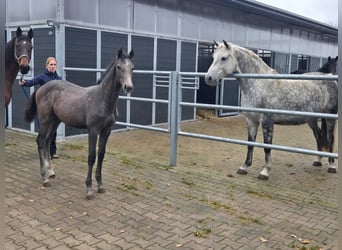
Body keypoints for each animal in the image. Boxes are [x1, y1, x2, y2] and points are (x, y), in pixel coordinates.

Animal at [24, 47, 134, 199]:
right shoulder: (93, 130)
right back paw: (45, 178)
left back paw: (51, 172)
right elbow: (91, 157)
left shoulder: (106, 131)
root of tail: (41, 88)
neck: (102, 99)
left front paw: (100, 185)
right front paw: (89, 189)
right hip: (46, 120)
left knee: (47, 141)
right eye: (118, 67)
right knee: (40, 141)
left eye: (132, 68)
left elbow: (101, 155)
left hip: (55, 120)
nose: (128, 87)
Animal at [206, 40, 336, 179]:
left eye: (224, 58)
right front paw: (244, 167)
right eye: (213, 57)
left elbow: (267, 146)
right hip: (312, 119)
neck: (259, 84)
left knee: (330, 138)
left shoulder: (267, 121)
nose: (208, 78)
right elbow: (250, 144)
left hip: (330, 118)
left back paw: (332, 166)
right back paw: (318, 160)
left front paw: (265, 171)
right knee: (318, 136)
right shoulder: (251, 120)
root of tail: (330, 77)